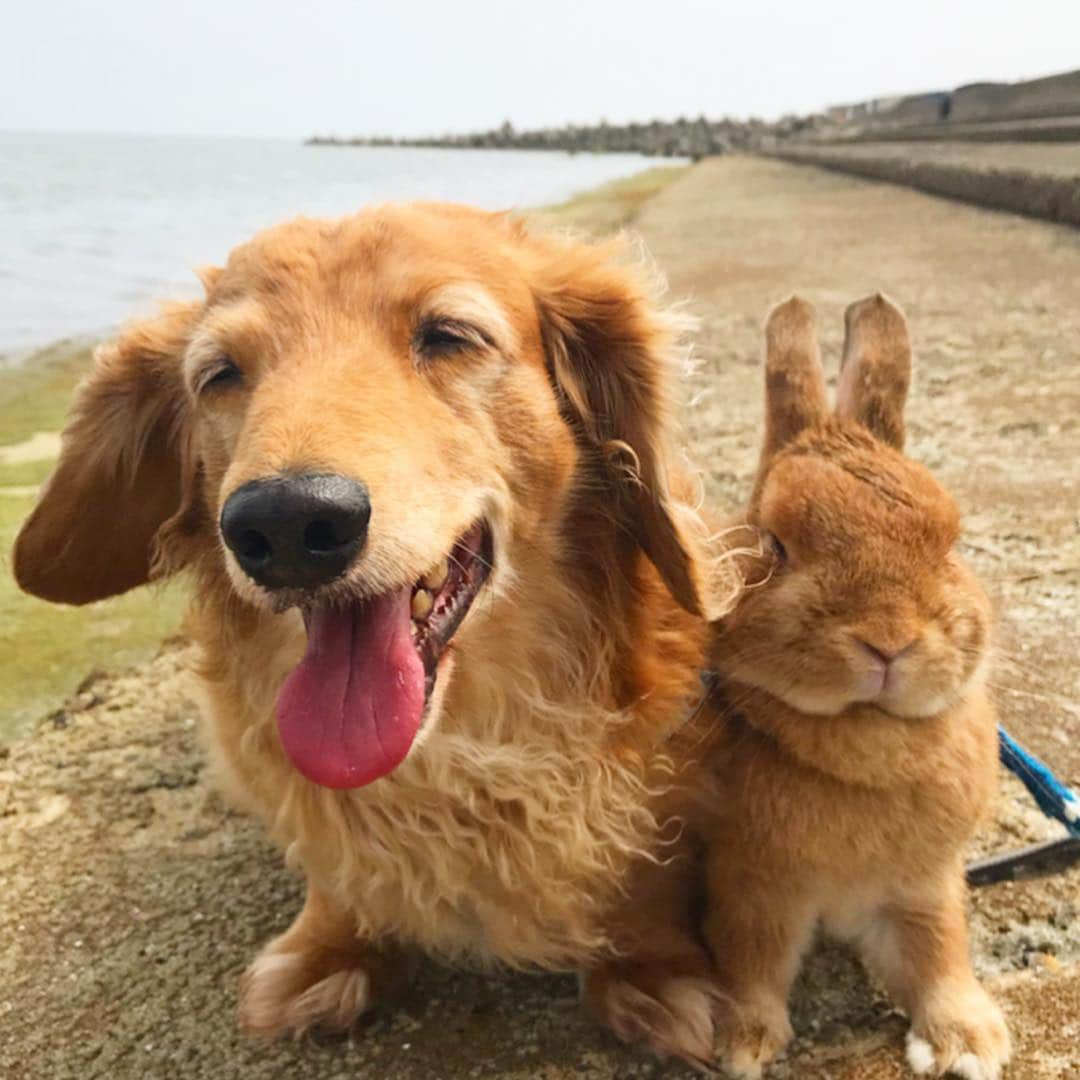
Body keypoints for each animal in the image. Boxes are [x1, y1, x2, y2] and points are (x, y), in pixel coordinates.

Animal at [704, 293, 1006, 1080]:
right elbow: (752, 961)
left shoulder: (922, 887)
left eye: (951, 542)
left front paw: (968, 1043)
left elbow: (938, 951)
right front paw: (743, 1043)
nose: (889, 639)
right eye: (775, 545)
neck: (865, 735)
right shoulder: (754, 887)